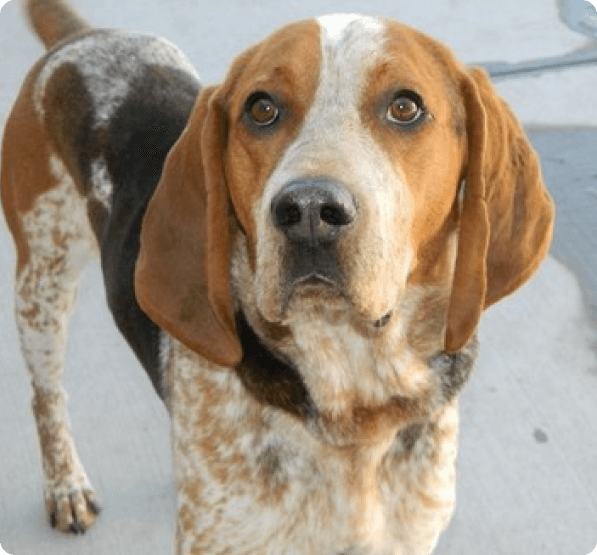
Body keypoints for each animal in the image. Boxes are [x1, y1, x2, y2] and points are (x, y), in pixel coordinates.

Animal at [1, 1, 556, 552]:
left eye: (406, 107)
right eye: (261, 108)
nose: (309, 210)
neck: (352, 396)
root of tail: (81, 38)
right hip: (42, 283)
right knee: (46, 395)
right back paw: (65, 485)